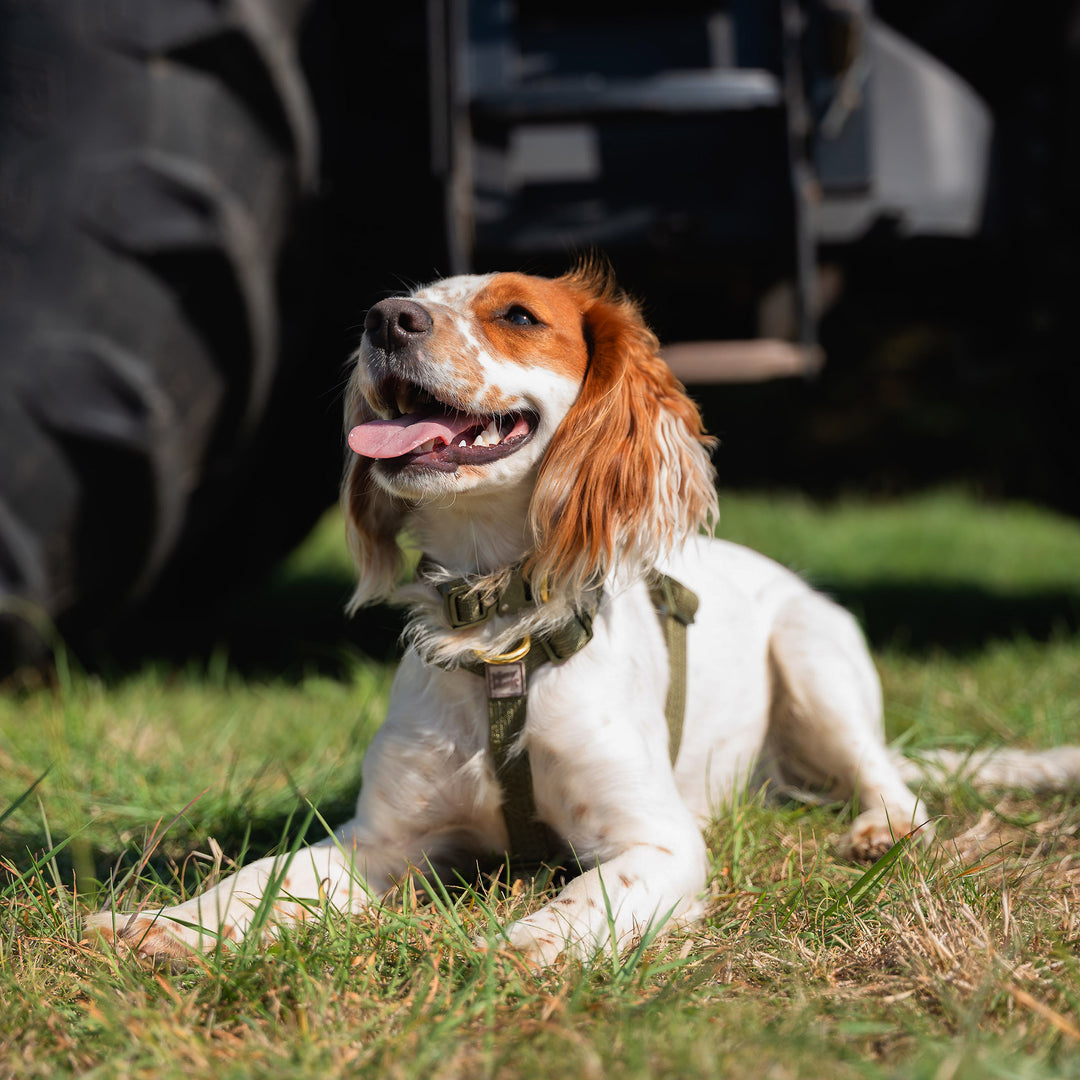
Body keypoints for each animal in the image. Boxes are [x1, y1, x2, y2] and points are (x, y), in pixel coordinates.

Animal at [85, 264, 1080, 965]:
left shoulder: (657, 840)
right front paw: (167, 922)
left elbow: (588, 895)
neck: (499, 638)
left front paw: (529, 943)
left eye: (520, 315)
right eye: (403, 303)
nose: (383, 320)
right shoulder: (379, 840)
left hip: (814, 651)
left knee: (890, 781)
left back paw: (878, 831)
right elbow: (264, 877)